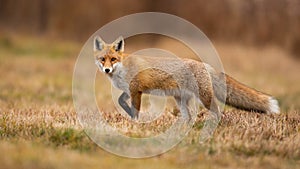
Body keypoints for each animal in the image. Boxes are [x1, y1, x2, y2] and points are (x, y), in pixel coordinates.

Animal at [92, 36, 280, 119]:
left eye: (113, 59)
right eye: (102, 59)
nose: (107, 69)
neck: (121, 70)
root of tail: (203, 64)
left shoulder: (136, 90)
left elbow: (135, 111)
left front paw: (135, 125)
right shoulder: (130, 90)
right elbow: (121, 101)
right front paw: (127, 113)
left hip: (205, 98)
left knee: (218, 112)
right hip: (180, 100)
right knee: (189, 117)